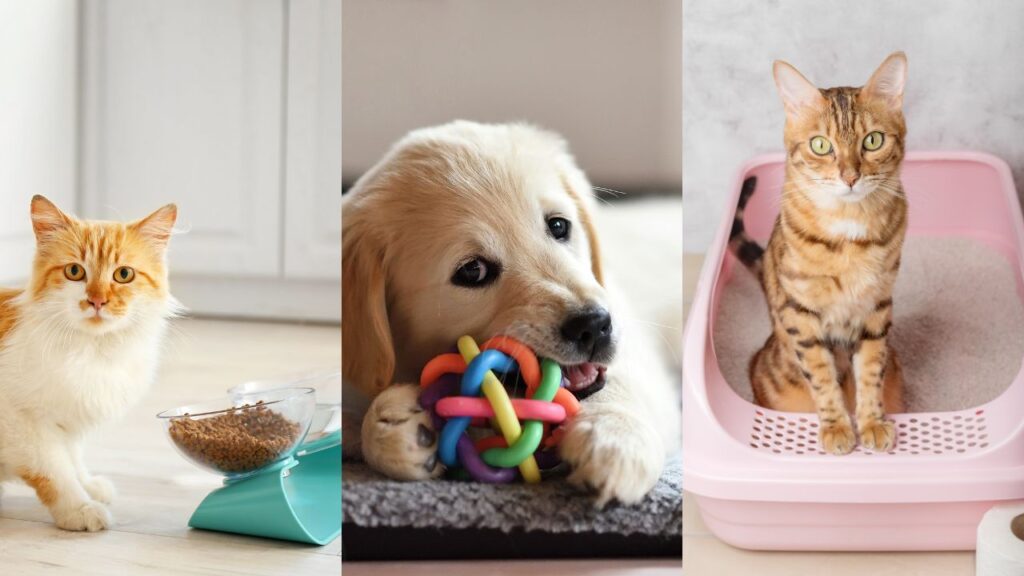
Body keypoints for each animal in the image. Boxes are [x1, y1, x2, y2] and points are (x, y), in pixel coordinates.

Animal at [0, 195, 178, 528]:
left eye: (124, 275)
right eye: (74, 271)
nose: (97, 301)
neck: (93, 350)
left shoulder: (69, 415)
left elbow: (73, 458)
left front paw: (89, 485)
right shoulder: (22, 422)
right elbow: (54, 470)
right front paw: (78, 508)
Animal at [344, 119, 679, 502]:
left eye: (559, 225)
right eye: (473, 271)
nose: (595, 326)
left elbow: (623, 382)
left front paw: (613, 439)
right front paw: (395, 428)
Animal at [733, 52, 909, 453]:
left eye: (873, 140)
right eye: (820, 146)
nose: (850, 177)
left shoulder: (878, 306)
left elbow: (871, 370)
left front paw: (871, 421)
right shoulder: (800, 312)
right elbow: (821, 374)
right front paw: (838, 427)